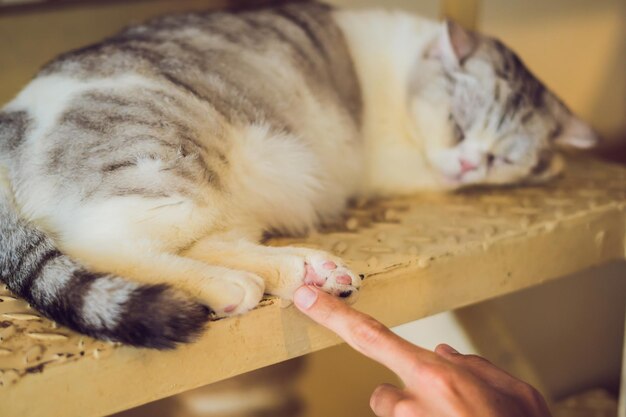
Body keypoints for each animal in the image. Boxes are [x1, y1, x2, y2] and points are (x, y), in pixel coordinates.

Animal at [1, 1, 596, 348]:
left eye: (504, 159)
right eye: (457, 125)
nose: (471, 163)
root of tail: (10, 121)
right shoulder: (397, 161)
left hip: (220, 197)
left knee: (211, 244)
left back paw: (308, 271)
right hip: (167, 175)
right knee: (107, 244)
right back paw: (233, 286)